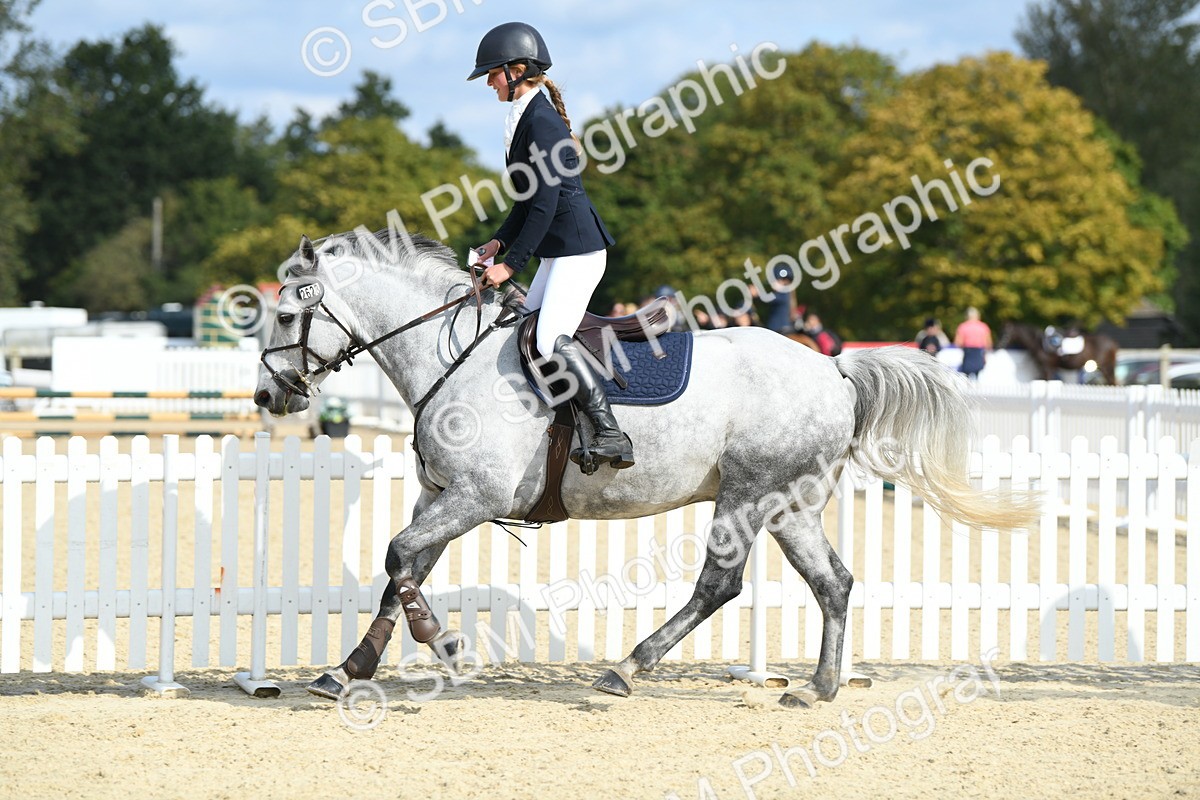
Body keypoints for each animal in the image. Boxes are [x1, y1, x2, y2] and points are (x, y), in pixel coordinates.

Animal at [253, 230, 1035, 709]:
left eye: (288, 316)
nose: (269, 395)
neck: (453, 354)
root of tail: (835, 367)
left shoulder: (473, 496)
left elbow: (398, 558)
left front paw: (443, 645)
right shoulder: (439, 496)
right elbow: (401, 569)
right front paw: (347, 670)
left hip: (747, 496)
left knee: (720, 584)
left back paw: (627, 668)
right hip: (791, 504)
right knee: (833, 584)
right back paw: (816, 688)